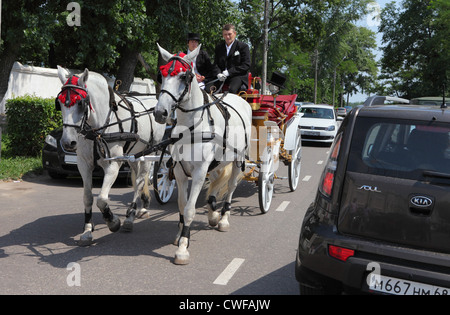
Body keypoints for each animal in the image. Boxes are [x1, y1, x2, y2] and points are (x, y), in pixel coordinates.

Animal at [56, 65, 165, 246]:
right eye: (59, 103)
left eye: (80, 102)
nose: (67, 142)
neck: (97, 130)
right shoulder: (83, 163)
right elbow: (87, 197)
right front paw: (87, 230)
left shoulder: (113, 165)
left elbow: (101, 198)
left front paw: (112, 221)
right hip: (135, 155)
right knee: (137, 179)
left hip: (151, 152)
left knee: (140, 181)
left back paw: (131, 216)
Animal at [155, 44, 253, 266]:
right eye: (162, 75)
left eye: (183, 76)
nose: (160, 113)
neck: (190, 127)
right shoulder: (180, 172)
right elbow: (182, 205)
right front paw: (180, 235)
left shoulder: (199, 172)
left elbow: (190, 209)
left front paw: (183, 248)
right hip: (217, 162)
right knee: (216, 182)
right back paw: (213, 213)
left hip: (238, 160)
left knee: (231, 187)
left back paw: (223, 218)